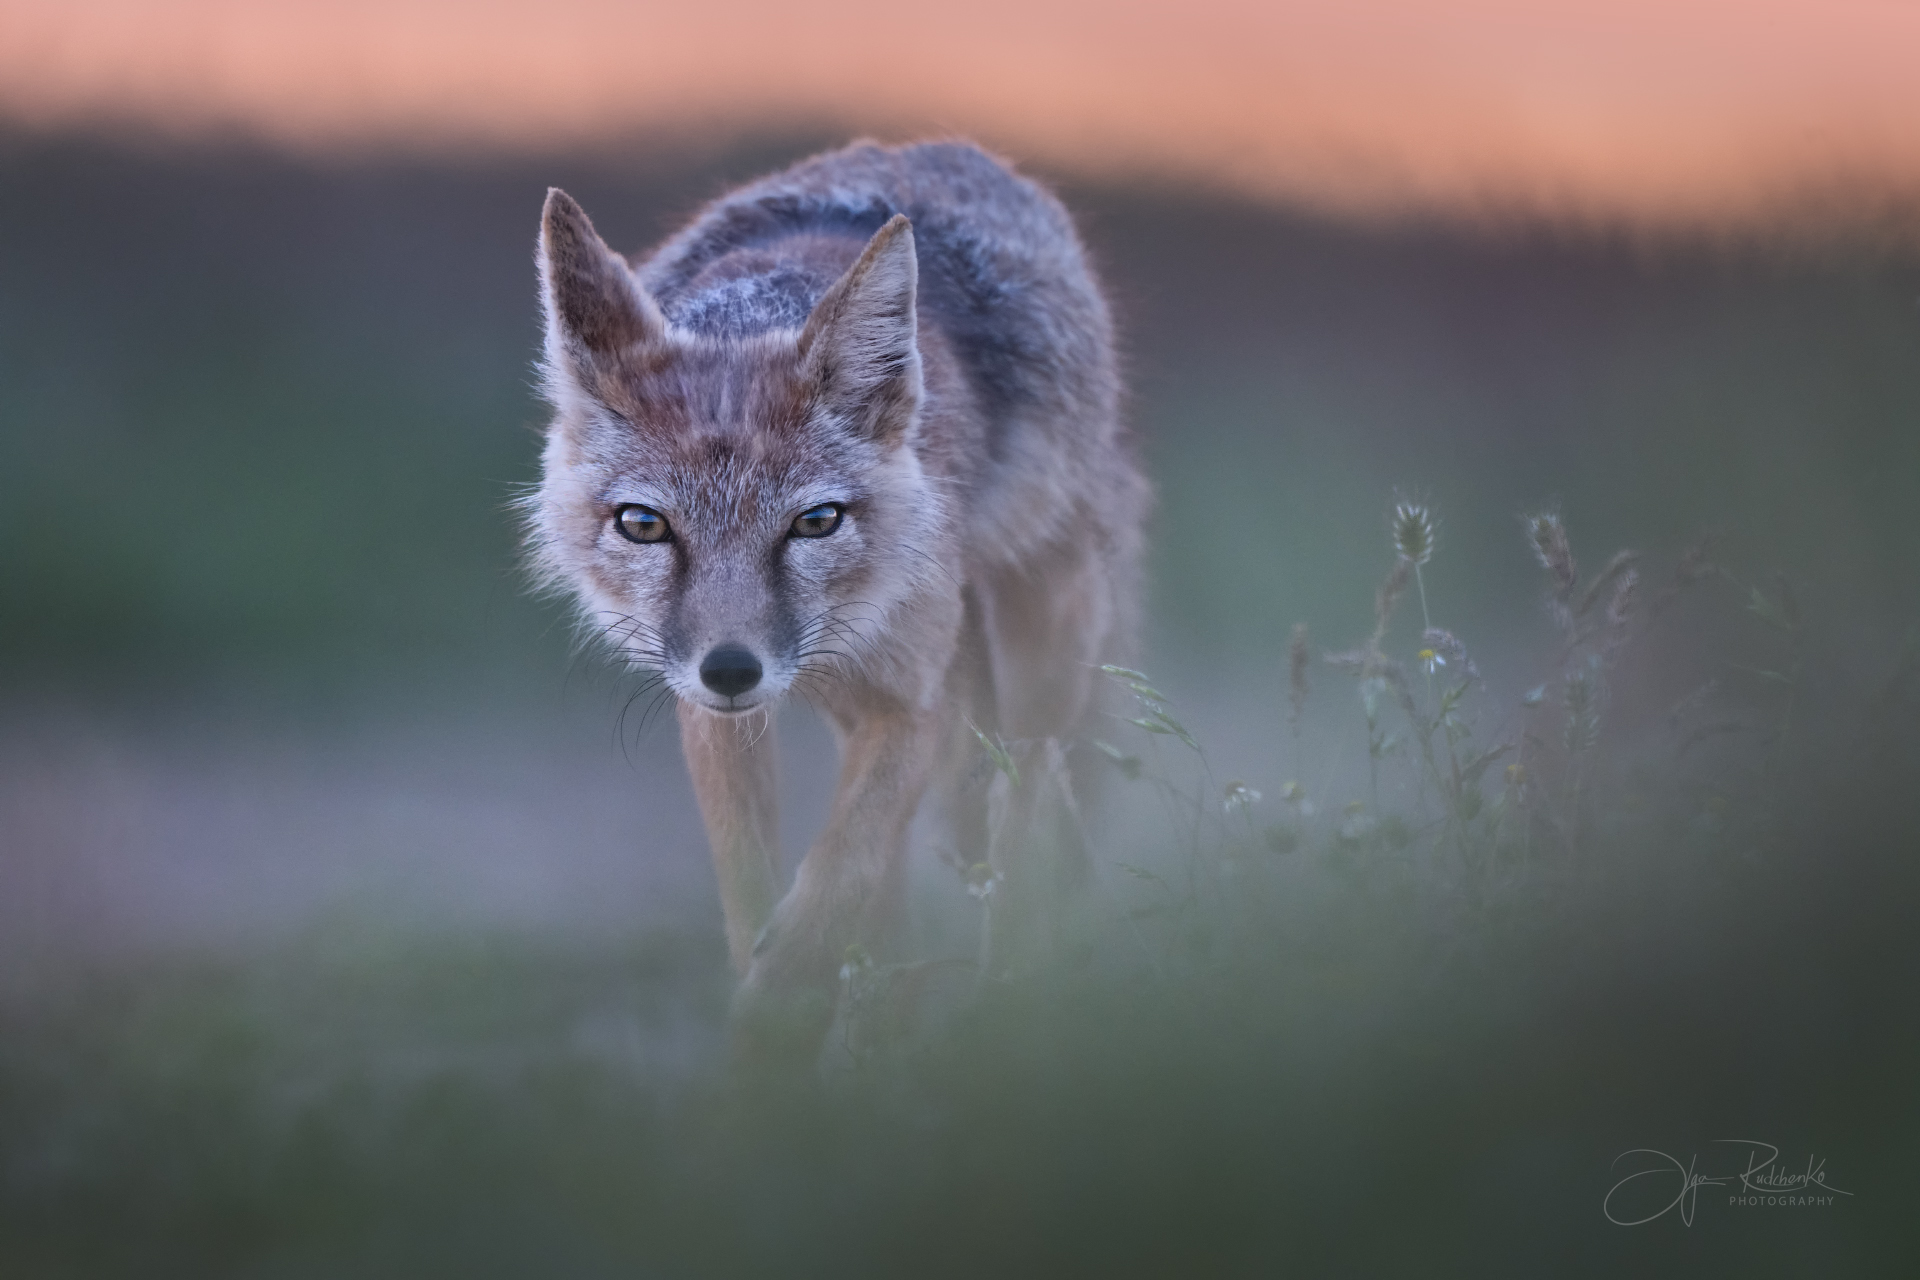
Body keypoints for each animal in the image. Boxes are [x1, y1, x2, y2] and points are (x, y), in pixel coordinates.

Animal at [526, 140, 1148, 1059]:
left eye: (815, 521)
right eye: (644, 525)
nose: (732, 669)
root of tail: (951, 150)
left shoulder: (912, 704)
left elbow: (840, 870)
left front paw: (783, 1012)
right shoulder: (716, 713)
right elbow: (759, 898)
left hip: (1041, 656)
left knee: (1026, 799)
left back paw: (1008, 997)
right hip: (870, 702)